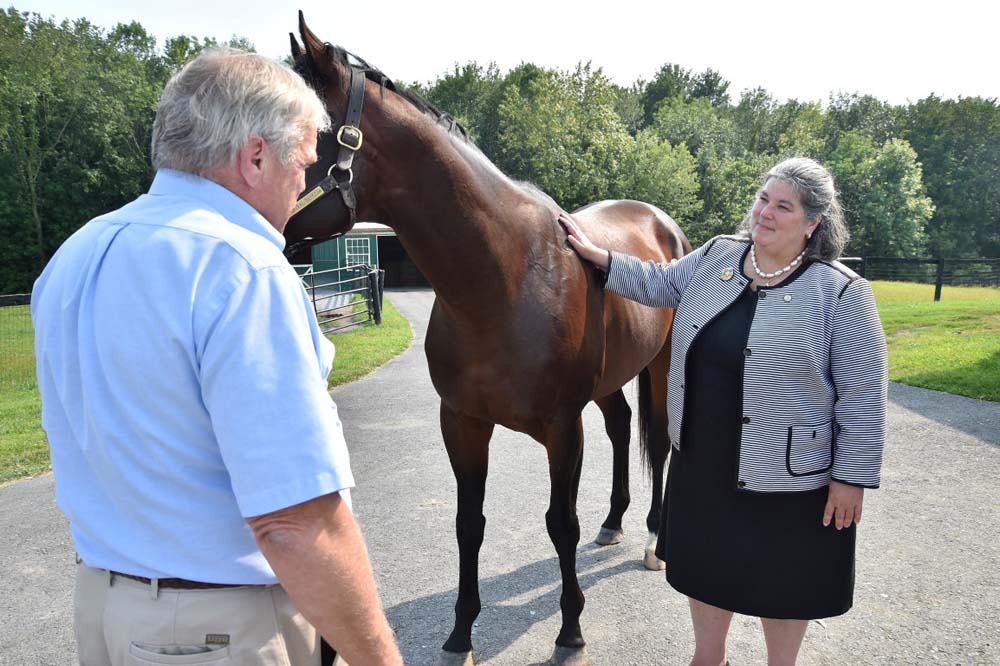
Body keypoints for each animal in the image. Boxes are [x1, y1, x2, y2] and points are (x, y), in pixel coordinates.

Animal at [286, 13, 692, 660]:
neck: (506, 278)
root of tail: (664, 224)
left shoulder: (561, 427)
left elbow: (560, 522)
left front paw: (571, 631)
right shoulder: (463, 421)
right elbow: (467, 524)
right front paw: (460, 633)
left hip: (658, 364)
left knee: (659, 438)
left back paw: (654, 538)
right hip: (610, 381)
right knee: (623, 427)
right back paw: (614, 522)